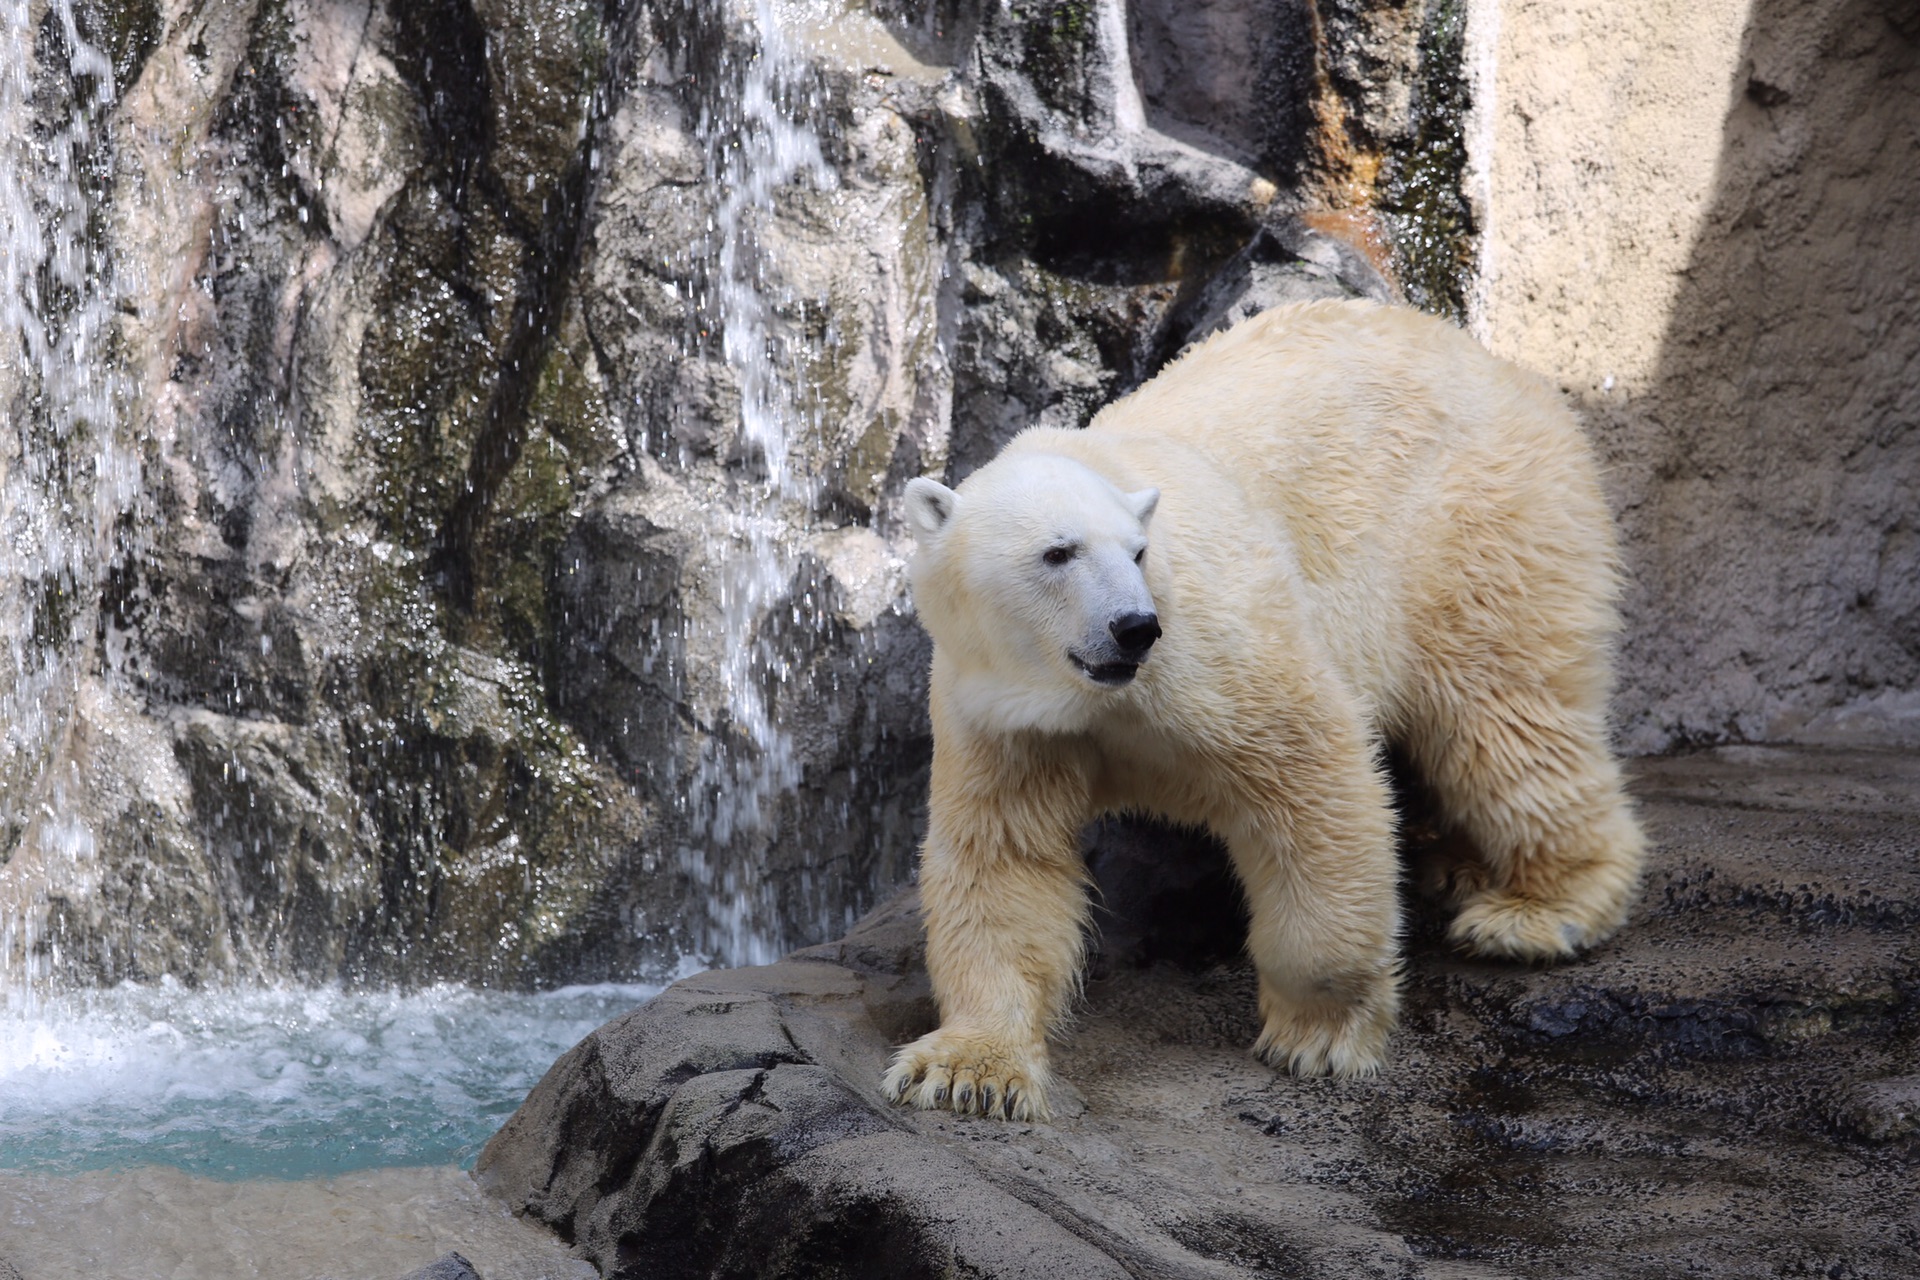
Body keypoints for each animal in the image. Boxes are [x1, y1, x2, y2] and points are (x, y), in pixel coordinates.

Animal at [883, 301, 1651, 1120]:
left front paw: (1316, 1035)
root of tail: (1510, 374)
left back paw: (1538, 910)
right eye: (1058, 552)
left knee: (1504, 715)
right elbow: (1003, 860)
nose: (1134, 626)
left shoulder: (1215, 651)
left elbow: (1312, 778)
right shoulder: (999, 712)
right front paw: (968, 1070)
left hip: (1478, 528)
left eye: (1138, 551)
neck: (1089, 694)